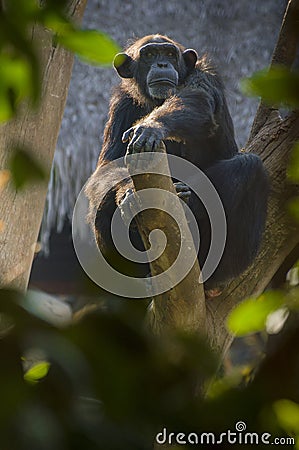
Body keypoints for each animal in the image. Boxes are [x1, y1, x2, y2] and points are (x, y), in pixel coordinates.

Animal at [85, 35, 270, 296]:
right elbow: (108, 165)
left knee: (250, 167)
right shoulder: (120, 104)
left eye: (170, 54)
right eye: (150, 55)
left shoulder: (204, 77)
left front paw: (150, 126)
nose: (162, 64)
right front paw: (128, 194)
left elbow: (196, 100)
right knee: (104, 202)